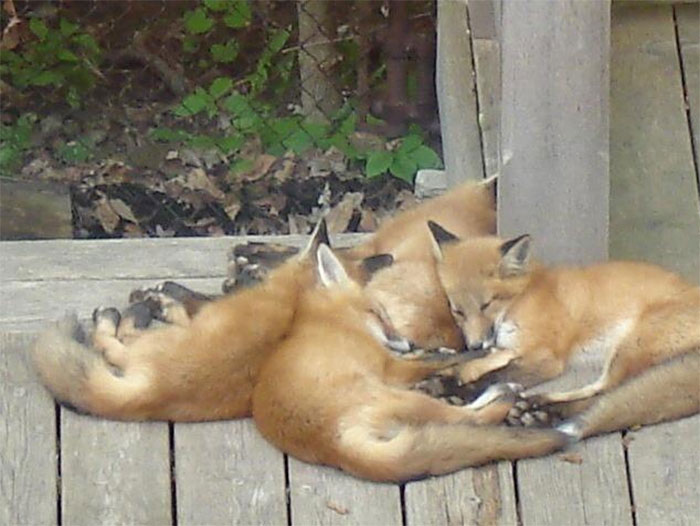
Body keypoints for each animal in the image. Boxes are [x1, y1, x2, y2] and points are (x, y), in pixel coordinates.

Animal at [251, 243, 568, 482]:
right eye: (379, 313)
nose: (407, 342)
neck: (329, 319)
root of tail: (332, 444)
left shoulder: (397, 359)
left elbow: (435, 354)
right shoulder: (394, 367)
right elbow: (448, 357)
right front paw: (484, 352)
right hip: (403, 396)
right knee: (467, 418)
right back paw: (506, 395)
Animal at [425, 220, 700, 436]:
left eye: (486, 305)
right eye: (457, 311)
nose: (474, 344)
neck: (521, 300)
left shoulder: (546, 358)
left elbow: (495, 377)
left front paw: (455, 389)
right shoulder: (506, 348)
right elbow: (477, 365)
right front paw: (452, 375)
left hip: (630, 350)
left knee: (603, 394)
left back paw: (543, 411)